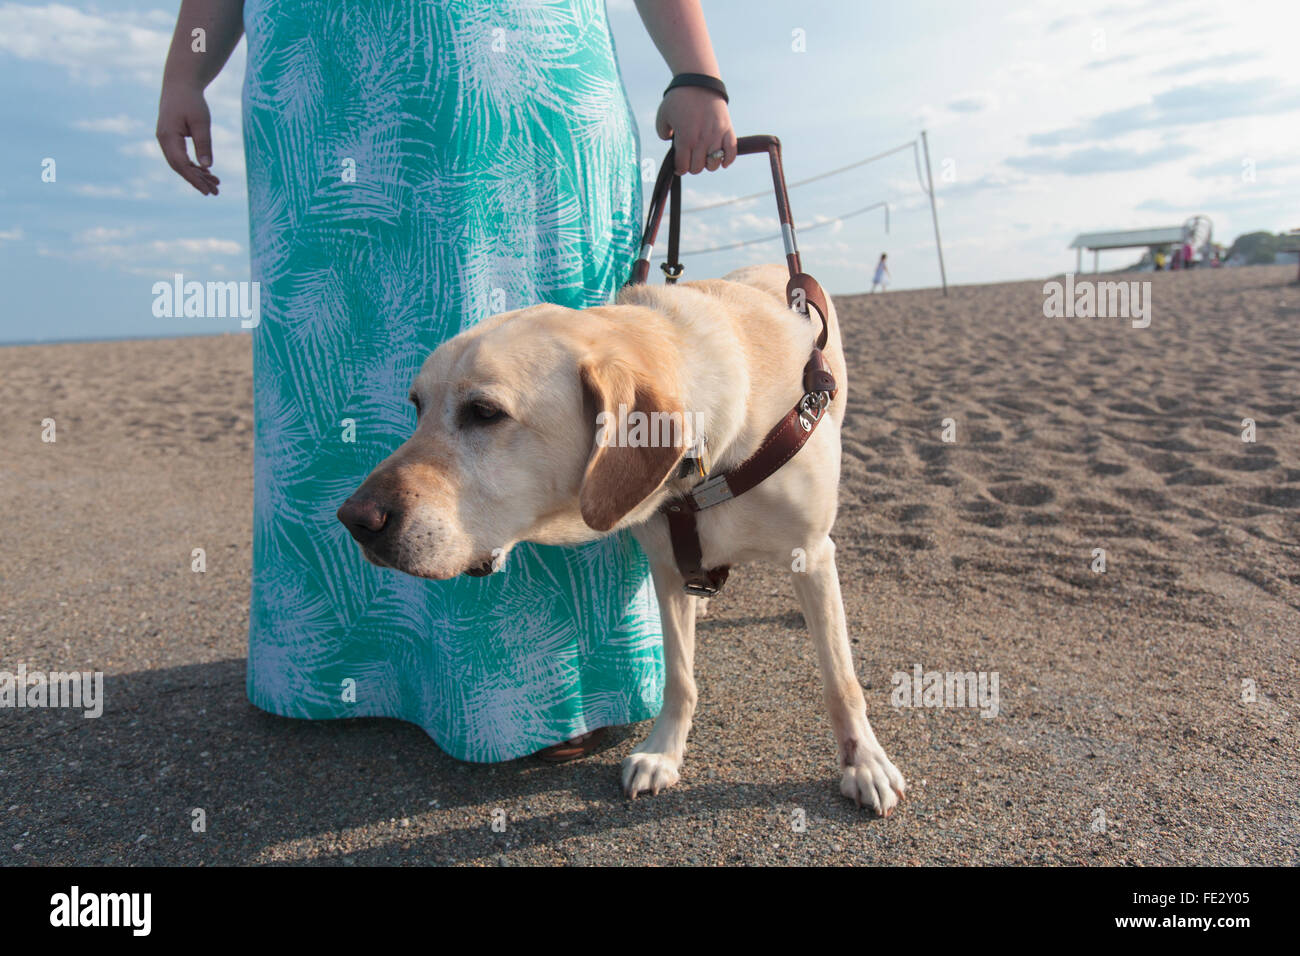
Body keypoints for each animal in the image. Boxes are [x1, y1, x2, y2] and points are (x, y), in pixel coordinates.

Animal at [335, 261, 904, 816]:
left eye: (485, 412)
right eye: (416, 406)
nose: (353, 518)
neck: (705, 464)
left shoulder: (810, 553)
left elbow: (840, 681)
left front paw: (864, 762)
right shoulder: (669, 567)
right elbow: (679, 676)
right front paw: (664, 752)